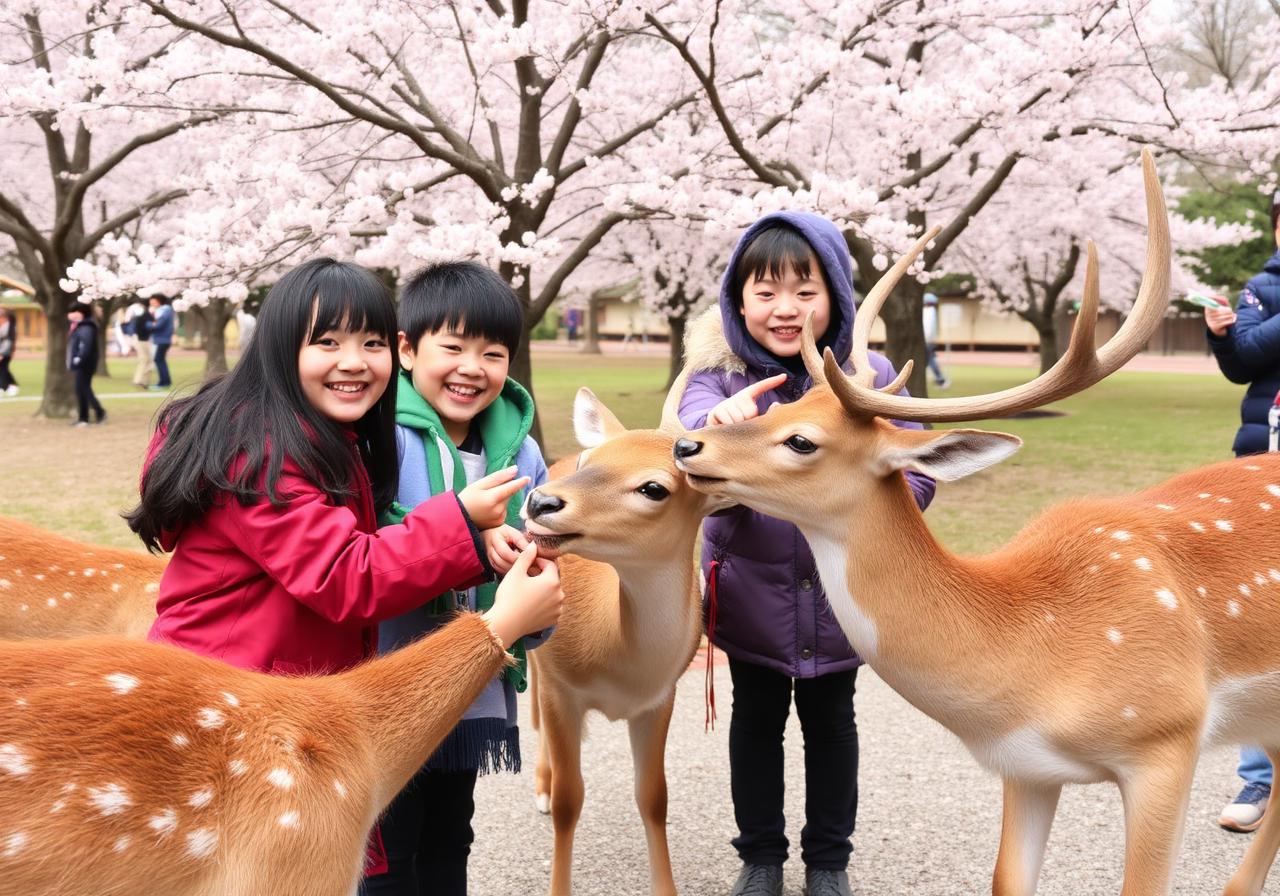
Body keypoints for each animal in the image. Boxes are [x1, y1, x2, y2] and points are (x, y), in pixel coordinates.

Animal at [521, 386, 728, 896]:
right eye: (588, 463)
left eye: (654, 488)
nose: (540, 502)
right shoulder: (562, 687)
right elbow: (569, 801)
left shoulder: (661, 697)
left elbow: (654, 797)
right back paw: (541, 785)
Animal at [670, 149, 1280, 896]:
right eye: (778, 405)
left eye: (802, 441)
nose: (687, 445)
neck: (1036, 652)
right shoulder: (1027, 765)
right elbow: (1008, 880)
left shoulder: (1168, 737)